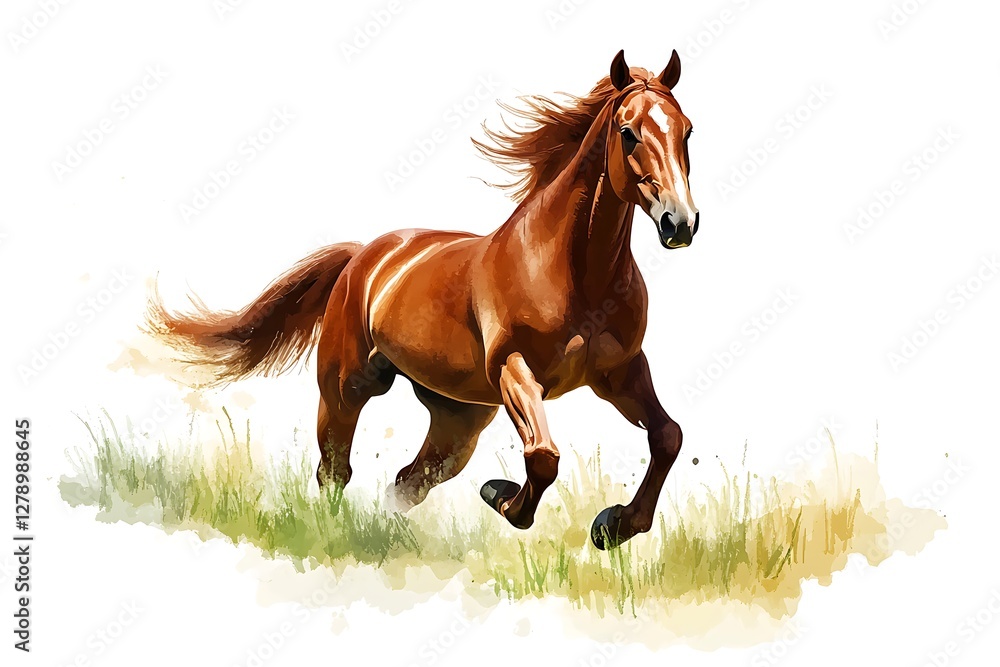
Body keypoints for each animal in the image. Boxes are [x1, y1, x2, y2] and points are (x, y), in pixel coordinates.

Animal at [146, 49, 699, 549]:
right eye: (627, 132)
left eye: (687, 130)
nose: (680, 223)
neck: (574, 271)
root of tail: (363, 256)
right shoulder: (515, 369)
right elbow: (543, 456)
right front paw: (502, 495)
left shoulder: (619, 372)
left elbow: (667, 436)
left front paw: (615, 526)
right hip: (346, 388)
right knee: (335, 470)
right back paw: (337, 535)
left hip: (459, 418)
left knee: (408, 481)